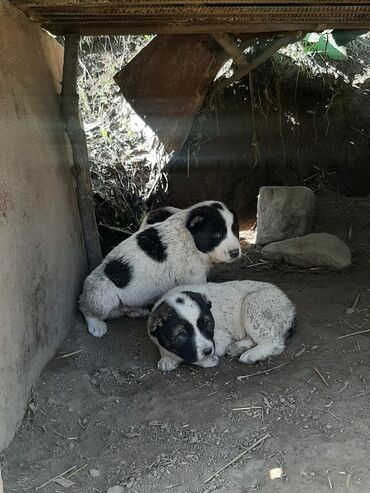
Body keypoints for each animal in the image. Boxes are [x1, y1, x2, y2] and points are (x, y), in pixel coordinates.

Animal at [79, 199, 240, 334]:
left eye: (235, 231)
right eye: (217, 234)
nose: (235, 252)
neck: (190, 237)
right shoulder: (195, 278)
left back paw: (136, 311)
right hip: (102, 295)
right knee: (85, 308)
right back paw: (97, 326)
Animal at [147, 278, 294, 370]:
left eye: (206, 323)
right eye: (183, 332)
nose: (207, 351)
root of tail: (290, 307)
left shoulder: (219, 341)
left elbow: (190, 357)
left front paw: (207, 360)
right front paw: (167, 358)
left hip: (253, 304)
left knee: (275, 343)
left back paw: (251, 354)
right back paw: (237, 347)